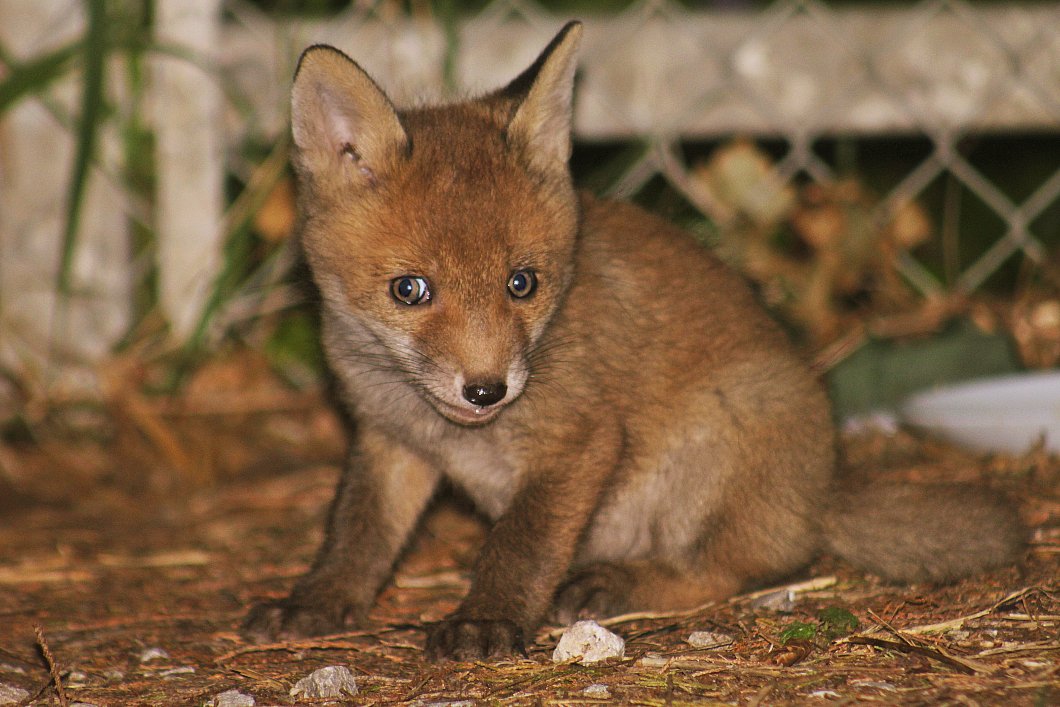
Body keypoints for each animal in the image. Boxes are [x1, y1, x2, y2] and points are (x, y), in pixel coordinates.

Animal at [244, 21, 1023, 661]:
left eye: (522, 283)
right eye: (410, 290)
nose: (487, 389)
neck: (440, 424)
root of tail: (823, 490)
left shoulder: (579, 440)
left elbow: (519, 545)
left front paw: (486, 619)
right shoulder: (387, 441)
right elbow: (356, 535)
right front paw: (317, 601)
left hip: (732, 428)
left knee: (736, 570)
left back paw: (617, 583)